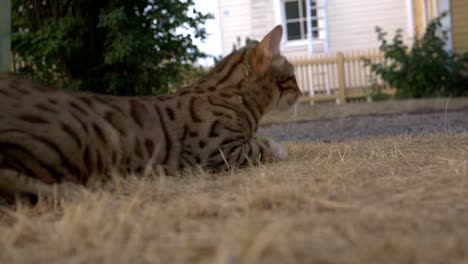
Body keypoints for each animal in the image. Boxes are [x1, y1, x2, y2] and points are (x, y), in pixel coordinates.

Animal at [0, 25, 300, 200]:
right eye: (293, 76)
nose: (300, 93)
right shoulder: (220, 152)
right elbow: (265, 146)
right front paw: (278, 147)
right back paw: (70, 192)